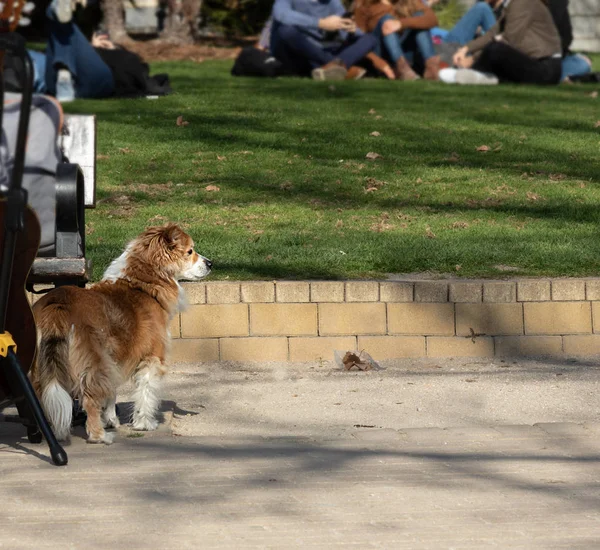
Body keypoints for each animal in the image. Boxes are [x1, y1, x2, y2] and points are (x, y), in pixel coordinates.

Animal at [32, 224, 213, 444]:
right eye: (189, 251)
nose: (211, 263)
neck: (143, 284)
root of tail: (58, 303)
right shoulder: (151, 358)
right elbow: (145, 393)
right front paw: (144, 423)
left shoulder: (115, 359)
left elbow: (112, 391)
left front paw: (111, 419)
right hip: (93, 362)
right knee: (89, 399)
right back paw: (99, 435)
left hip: (42, 365)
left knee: (43, 398)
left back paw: (52, 433)